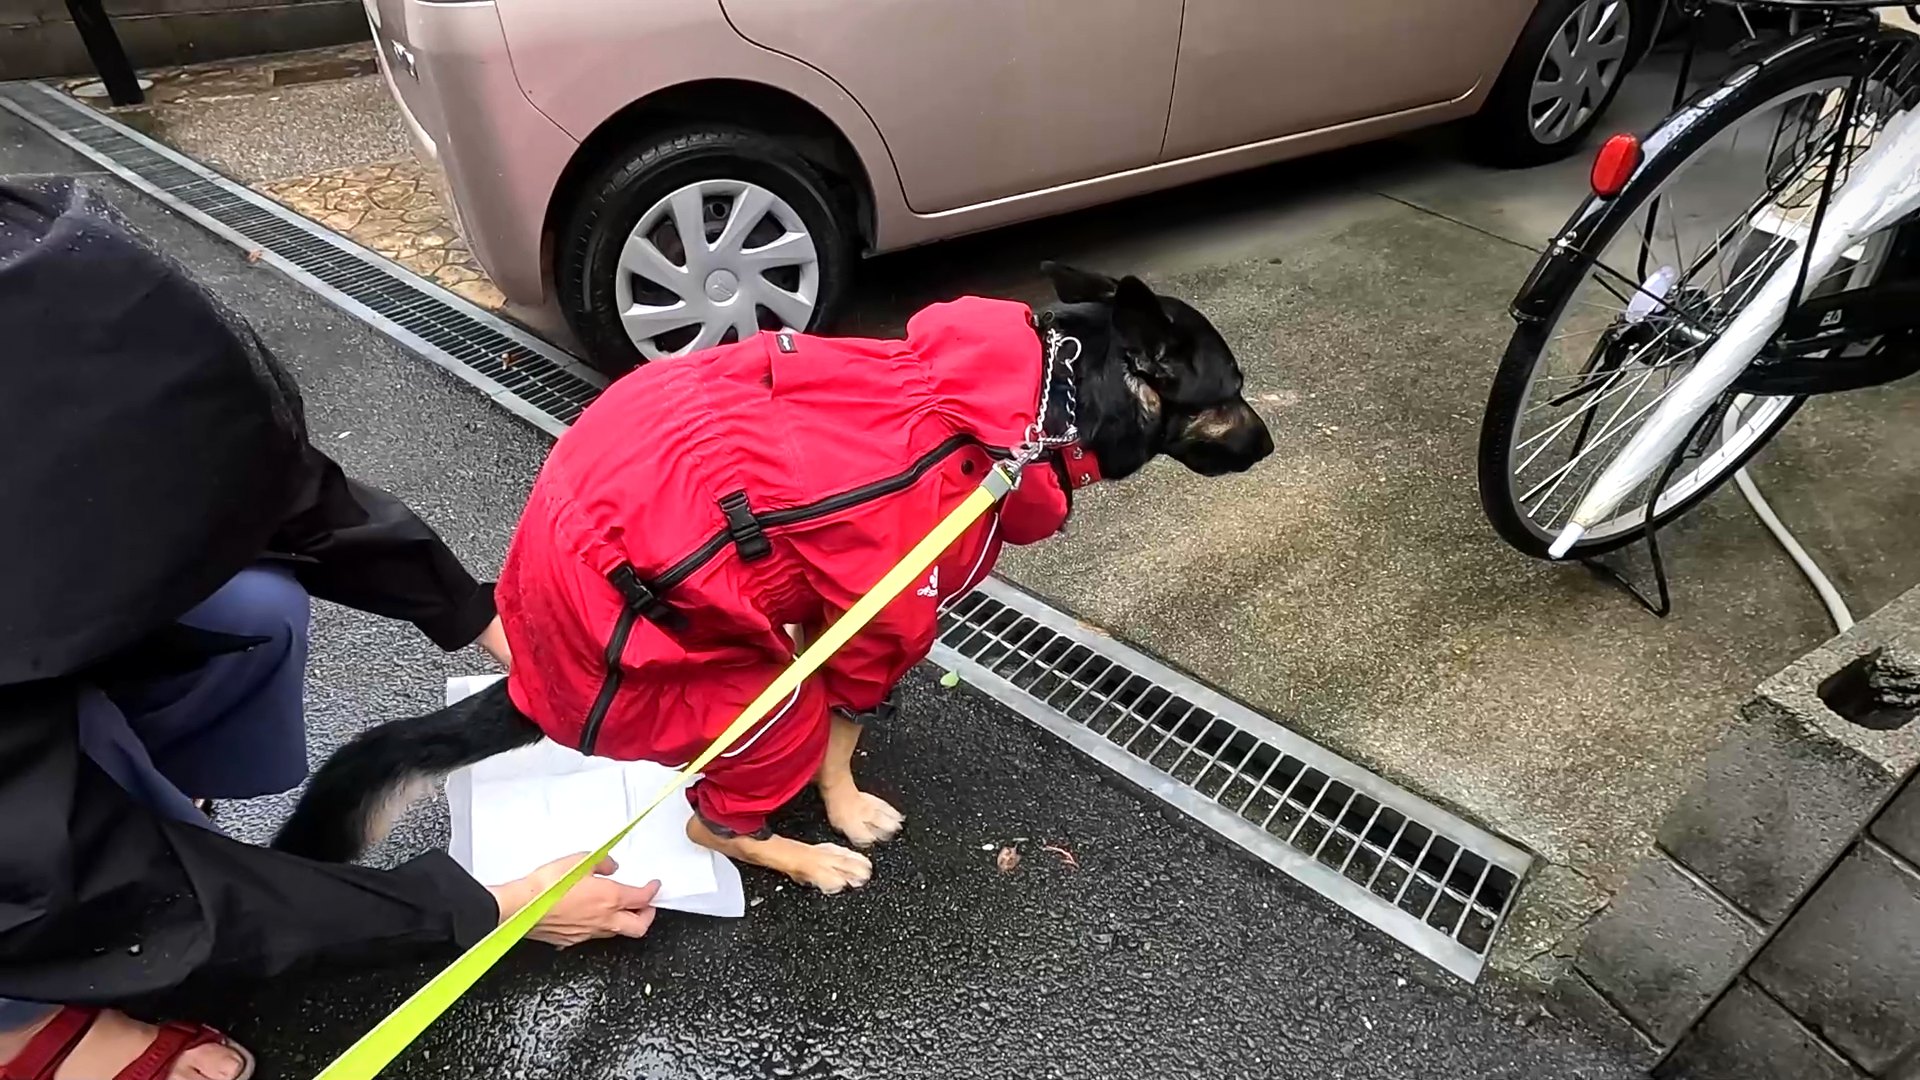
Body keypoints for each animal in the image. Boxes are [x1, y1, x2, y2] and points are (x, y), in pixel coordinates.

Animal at [273, 263, 1273, 893]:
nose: (1270, 444)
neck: (1039, 397)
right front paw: (845, 812)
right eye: (1233, 391)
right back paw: (807, 858)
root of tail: (534, 683)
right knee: (708, 819)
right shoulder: (883, 613)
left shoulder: (815, 608)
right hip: (749, 716)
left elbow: (824, 675)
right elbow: (843, 722)